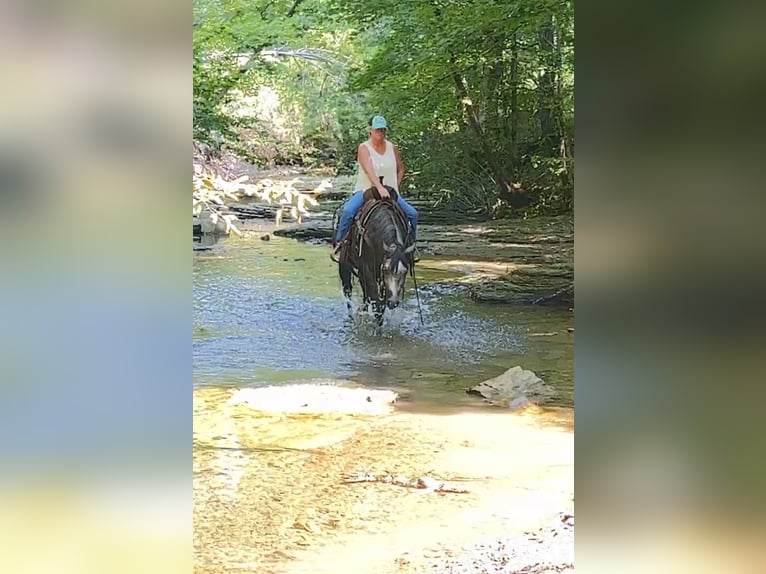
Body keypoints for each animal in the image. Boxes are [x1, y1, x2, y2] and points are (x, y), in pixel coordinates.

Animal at [335, 185, 416, 325]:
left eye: (405, 271)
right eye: (386, 269)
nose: (393, 302)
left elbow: (378, 302)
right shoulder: (369, 271)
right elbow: (376, 303)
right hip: (344, 265)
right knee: (348, 291)